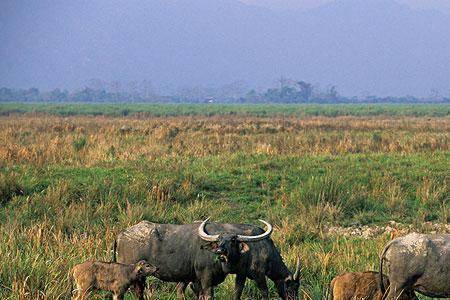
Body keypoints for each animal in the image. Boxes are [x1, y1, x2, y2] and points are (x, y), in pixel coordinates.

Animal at [114, 218, 272, 300]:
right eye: (220, 240)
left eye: (233, 241)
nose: (221, 251)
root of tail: (121, 234)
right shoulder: (205, 278)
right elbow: (208, 296)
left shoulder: (197, 280)